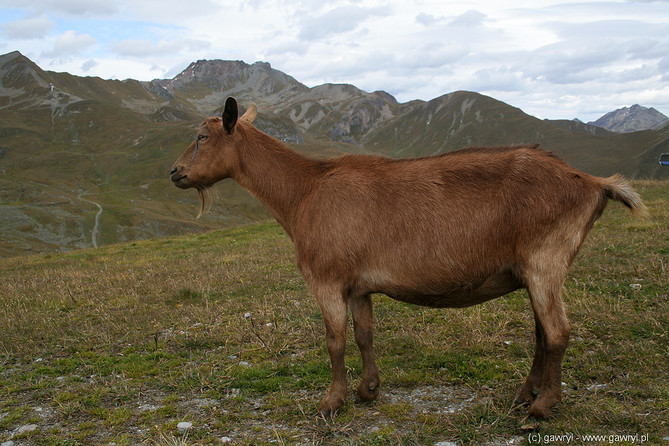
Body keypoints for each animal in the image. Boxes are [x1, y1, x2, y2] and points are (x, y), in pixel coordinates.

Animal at [170, 96, 644, 418]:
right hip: (534, 271)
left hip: (546, 260)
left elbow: (334, 340)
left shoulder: (325, 278)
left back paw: (541, 408)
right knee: (543, 334)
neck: (303, 191)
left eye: (202, 136)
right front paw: (368, 391)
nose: (175, 172)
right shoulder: (358, 285)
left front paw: (331, 402)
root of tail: (591, 182)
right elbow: (364, 335)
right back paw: (524, 395)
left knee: (558, 332)